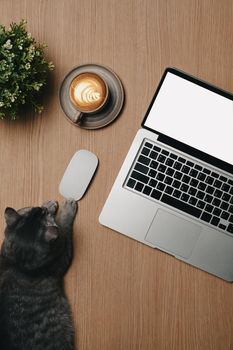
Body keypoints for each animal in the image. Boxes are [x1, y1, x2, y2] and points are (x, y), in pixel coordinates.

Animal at [0, 200, 78, 350]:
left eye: (31, 208)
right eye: (48, 217)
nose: (42, 208)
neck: (19, 264)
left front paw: (49, 204)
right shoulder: (63, 255)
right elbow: (64, 225)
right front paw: (66, 208)